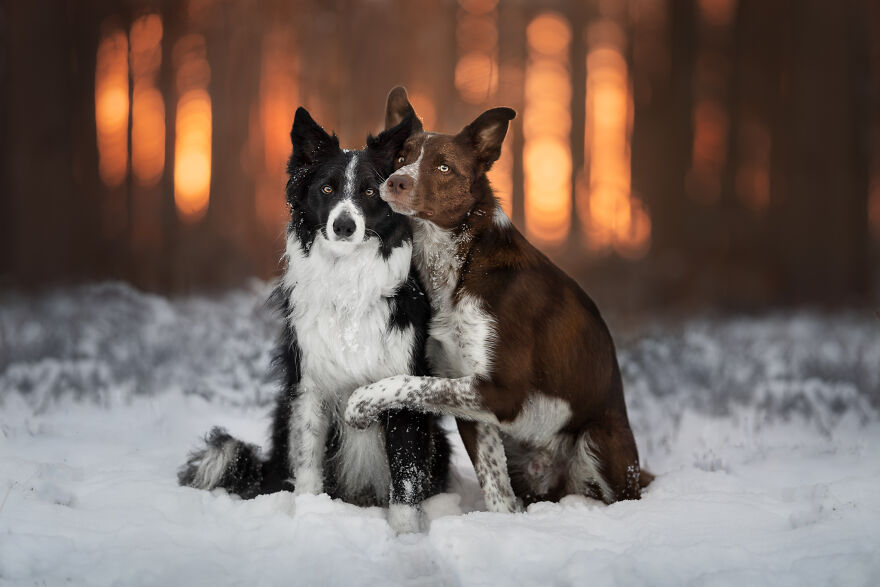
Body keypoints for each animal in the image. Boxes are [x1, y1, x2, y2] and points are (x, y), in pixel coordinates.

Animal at [346, 88, 652, 516]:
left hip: (598, 439)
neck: (457, 265)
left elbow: (407, 382)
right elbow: (495, 487)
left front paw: (359, 404)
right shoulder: (469, 400)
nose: (396, 182)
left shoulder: (502, 392)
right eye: (402, 157)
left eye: (443, 167)